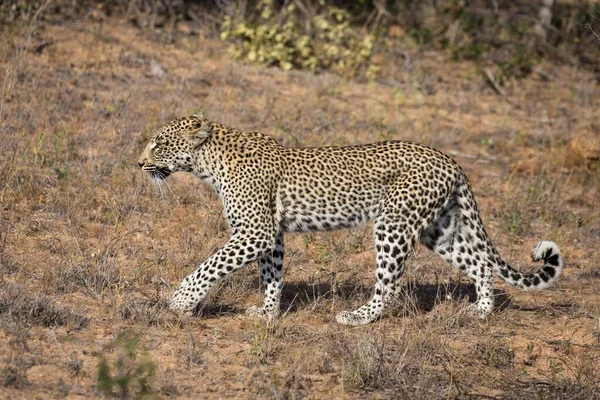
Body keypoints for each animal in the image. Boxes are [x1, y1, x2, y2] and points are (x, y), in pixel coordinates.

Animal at [138, 112, 564, 324]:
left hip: (393, 224)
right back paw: (480, 311)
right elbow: (271, 275)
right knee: (480, 263)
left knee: (389, 284)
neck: (208, 162)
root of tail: (450, 159)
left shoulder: (255, 232)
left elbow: (208, 265)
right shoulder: (271, 236)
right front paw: (268, 312)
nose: (139, 163)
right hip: (439, 228)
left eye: (159, 144)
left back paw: (360, 317)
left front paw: (181, 301)